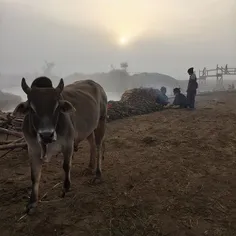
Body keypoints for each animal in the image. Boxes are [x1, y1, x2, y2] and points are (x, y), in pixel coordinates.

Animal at [13, 76, 107, 213]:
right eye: (32, 109)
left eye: (56, 107)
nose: (47, 135)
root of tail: (97, 85)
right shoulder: (32, 149)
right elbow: (34, 175)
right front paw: (32, 203)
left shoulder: (68, 144)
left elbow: (66, 166)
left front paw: (66, 187)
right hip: (88, 129)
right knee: (92, 144)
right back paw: (90, 166)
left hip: (101, 121)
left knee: (99, 146)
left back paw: (98, 174)